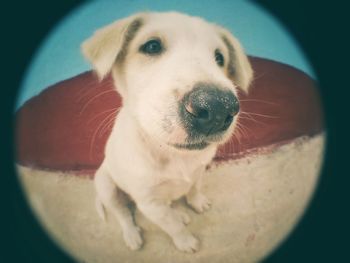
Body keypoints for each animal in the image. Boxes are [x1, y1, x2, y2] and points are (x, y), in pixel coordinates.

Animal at [82, 11, 252, 254]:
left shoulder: (199, 171)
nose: (218, 108)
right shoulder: (150, 203)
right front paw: (185, 241)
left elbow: (193, 189)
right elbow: (171, 226)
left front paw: (196, 202)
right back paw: (132, 235)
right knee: (123, 214)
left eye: (220, 58)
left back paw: (181, 213)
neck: (172, 155)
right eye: (152, 46)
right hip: (106, 186)